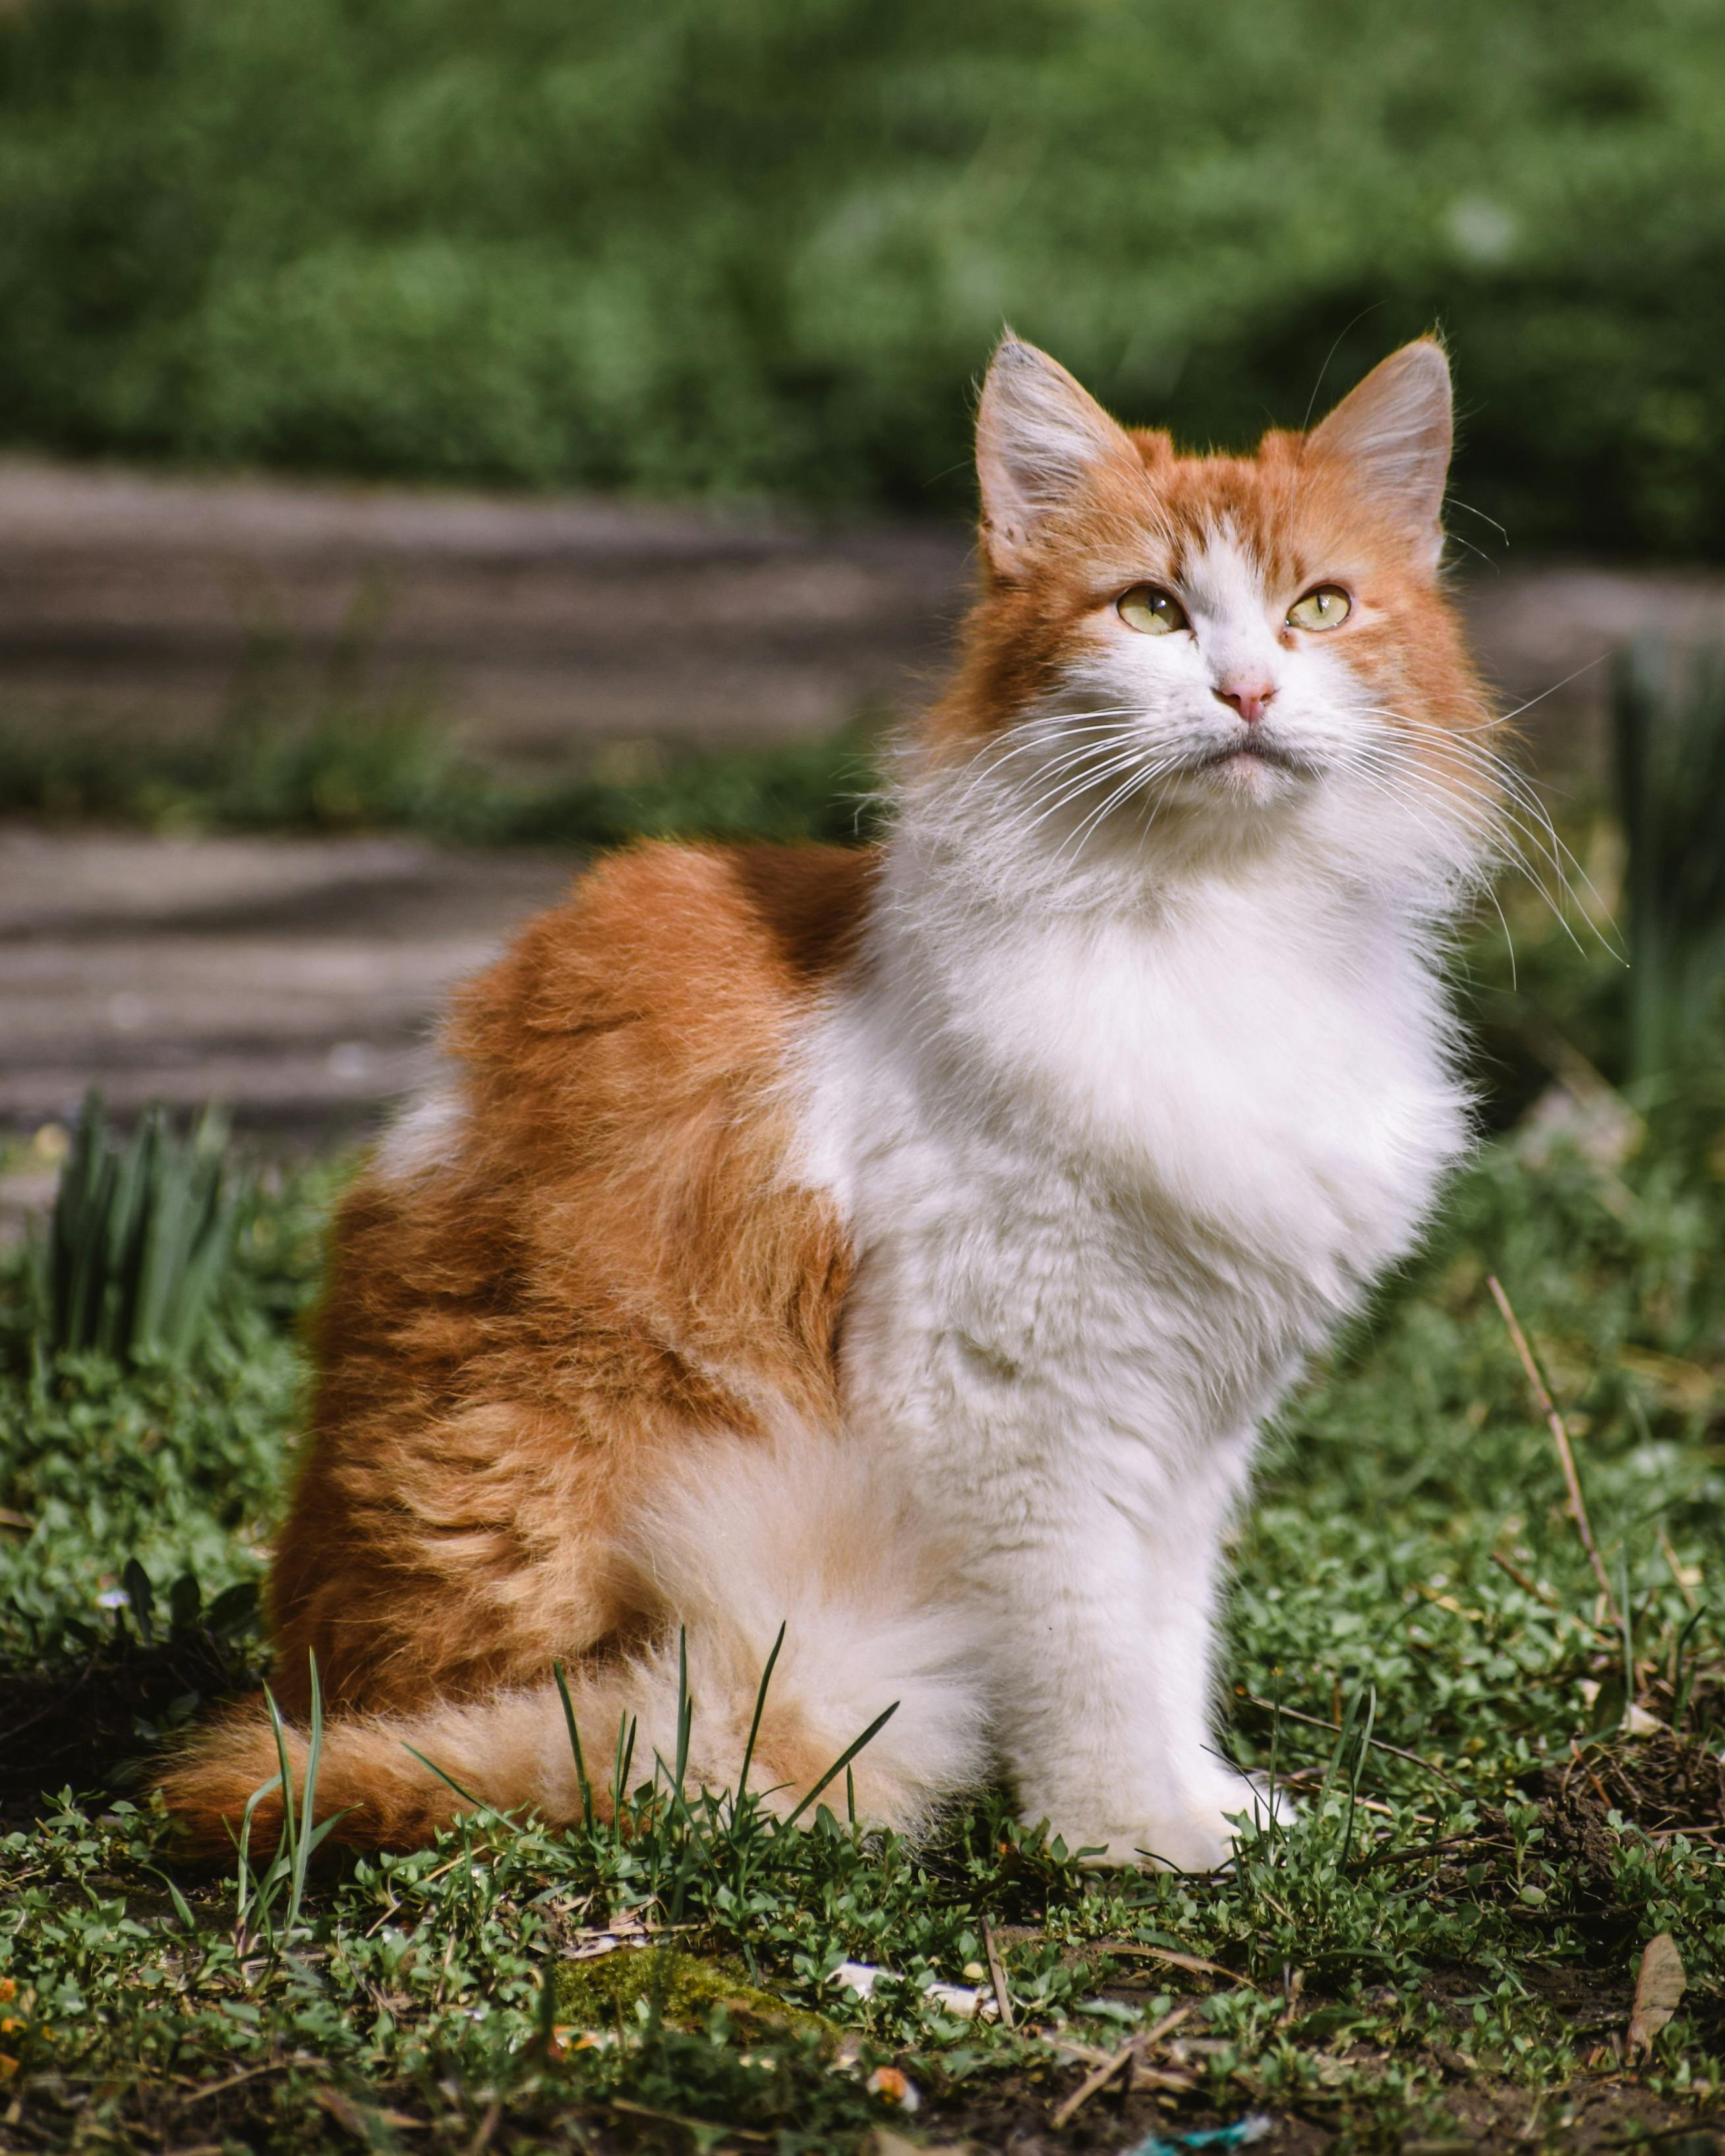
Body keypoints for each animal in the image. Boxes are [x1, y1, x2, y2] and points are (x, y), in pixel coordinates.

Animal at [165, 336, 1492, 1871]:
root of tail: (321, 1685)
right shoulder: (1014, 1405)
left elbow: (1169, 1636)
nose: (1247, 696)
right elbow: (1092, 1657)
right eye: (1152, 611)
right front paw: (1128, 1840)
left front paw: (1209, 1803)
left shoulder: (1193, 1418)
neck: (1221, 924)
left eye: (1318, 608)